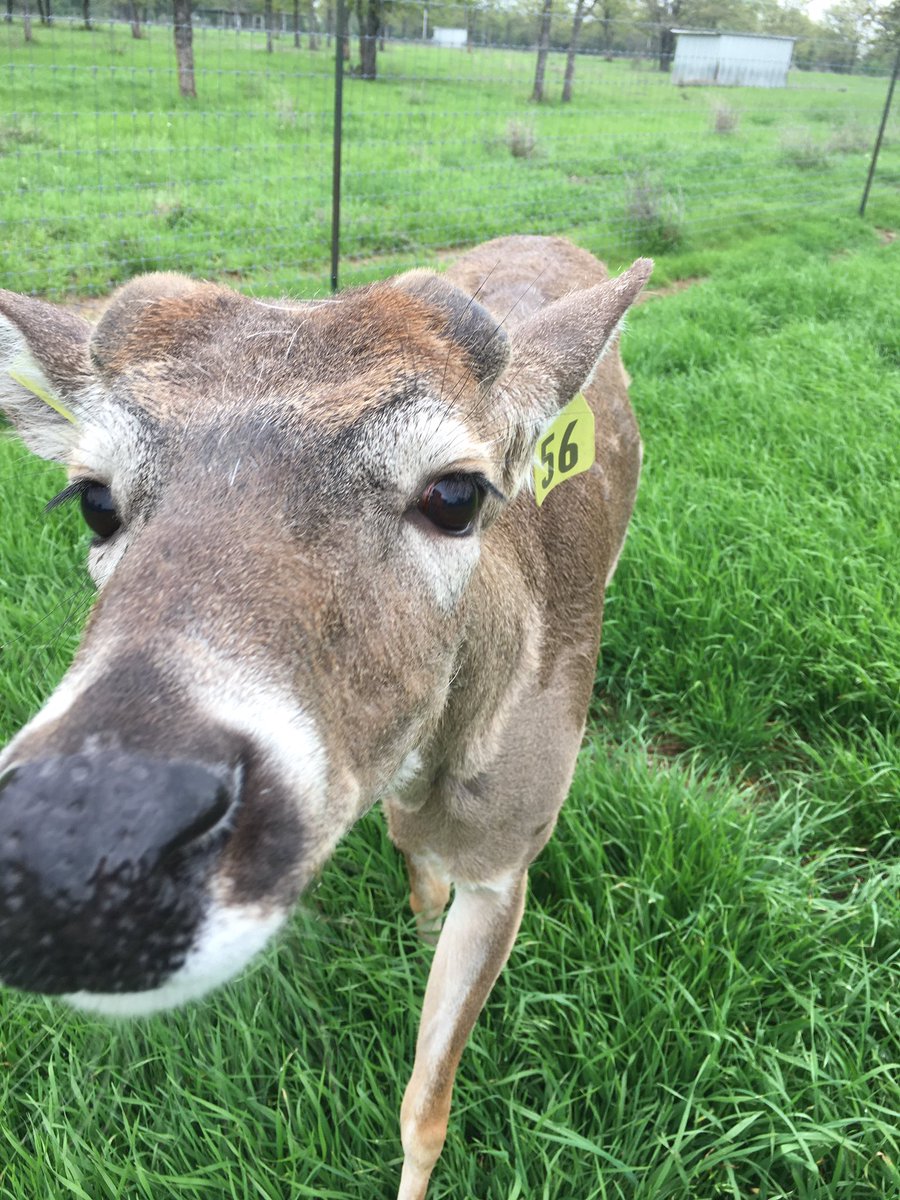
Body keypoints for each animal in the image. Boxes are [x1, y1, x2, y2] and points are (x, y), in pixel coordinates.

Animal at [0, 235, 651, 1199]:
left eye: (456, 494)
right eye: (93, 498)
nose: (74, 845)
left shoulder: (512, 848)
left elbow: (425, 1106)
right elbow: (414, 869)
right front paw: (415, 935)